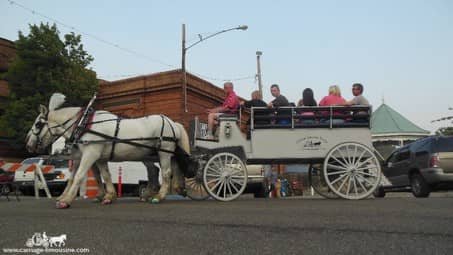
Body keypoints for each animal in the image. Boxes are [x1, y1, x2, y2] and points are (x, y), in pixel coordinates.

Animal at [26, 92, 189, 208]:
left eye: (38, 124)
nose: (28, 144)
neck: (83, 124)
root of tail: (173, 123)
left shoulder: (91, 153)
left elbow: (79, 175)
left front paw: (65, 200)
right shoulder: (97, 157)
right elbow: (103, 175)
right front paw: (108, 196)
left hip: (164, 151)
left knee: (166, 172)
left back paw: (158, 196)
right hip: (152, 154)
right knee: (157, 170)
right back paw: (160, 192)